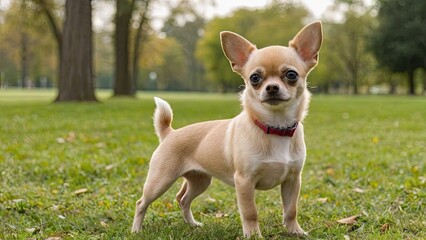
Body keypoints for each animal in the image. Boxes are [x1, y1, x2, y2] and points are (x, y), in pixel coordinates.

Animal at [131, 21, 322, 238]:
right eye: (254, 78)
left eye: (291, 75)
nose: (272, 87)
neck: (275, 127)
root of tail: (169, 133)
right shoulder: (244, 182)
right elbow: (250, 212)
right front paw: (253, 235)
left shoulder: (292, 180)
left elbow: (291, 210)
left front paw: (296, 231)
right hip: (160, 181)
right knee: (141, 202)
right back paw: (136, 229)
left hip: (200, 180)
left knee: (182, 199)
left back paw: (192, 224)